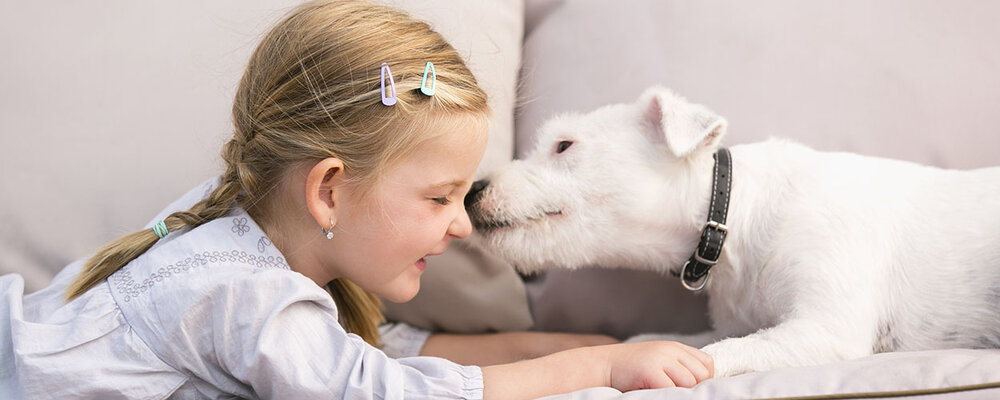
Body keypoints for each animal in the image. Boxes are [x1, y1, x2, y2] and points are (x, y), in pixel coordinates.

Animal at [466, 86, 1000, 376]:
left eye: (564, 145)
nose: (472, 192)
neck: (736, 210)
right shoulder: (737, 323)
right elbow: (671, 340)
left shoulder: (824, 330)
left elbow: (718, 355)